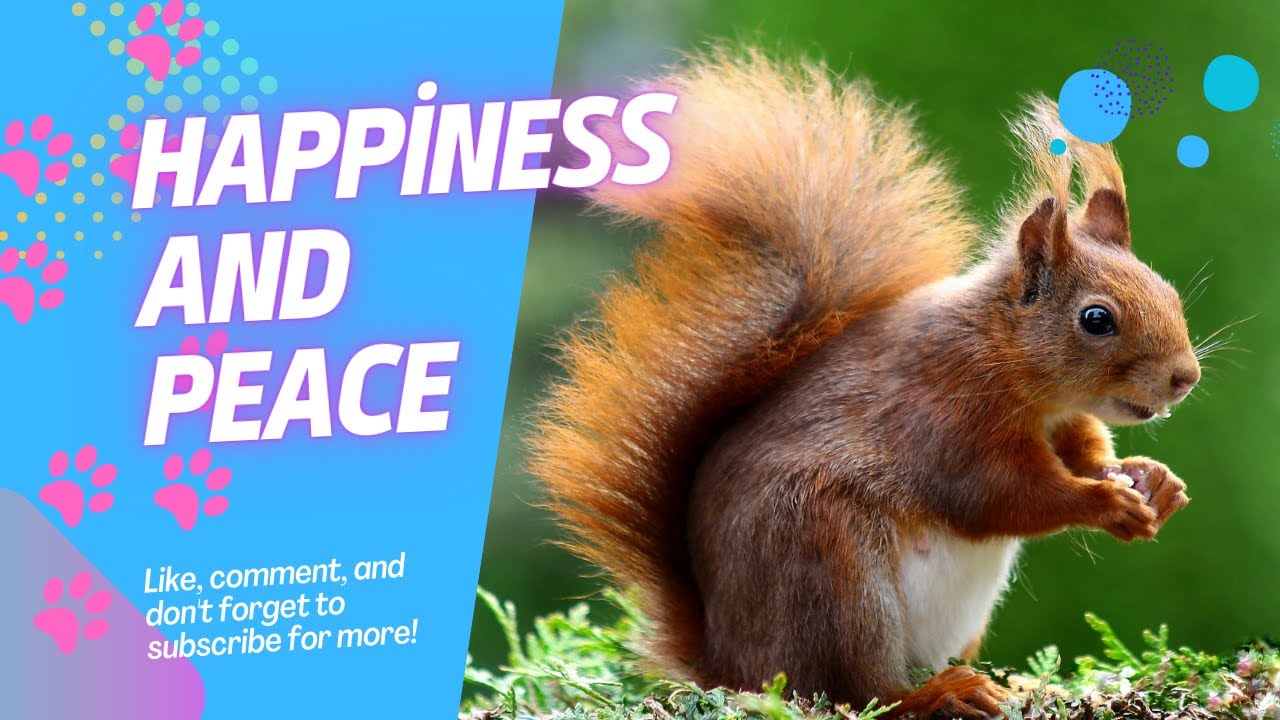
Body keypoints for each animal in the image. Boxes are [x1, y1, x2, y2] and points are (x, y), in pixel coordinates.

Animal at [531, 48, 1200, 718]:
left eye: (1168, 292)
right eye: (1097, 319)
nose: (1185, 378)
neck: (1011, 362)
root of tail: (729, 662)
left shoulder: (1063, 420)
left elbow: (1085, 455)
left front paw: (1152, 481)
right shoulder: (947, 413)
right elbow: (1000, 495)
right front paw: (1105, 502)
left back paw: (1012, 685)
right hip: (832, 569)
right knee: (859, 689)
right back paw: (937, 694)